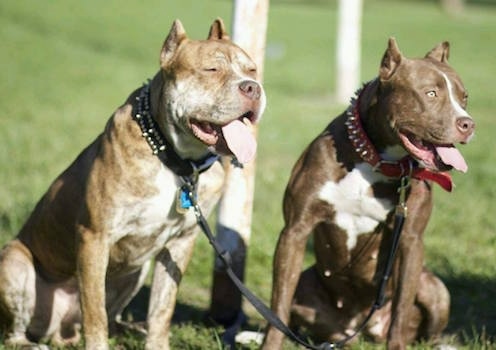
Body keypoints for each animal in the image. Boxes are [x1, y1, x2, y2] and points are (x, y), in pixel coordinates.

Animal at [0, 19, 266, 350]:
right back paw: (29, 342)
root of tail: (62, 331)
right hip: (13, 264)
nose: (253, 88)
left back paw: (132, 330)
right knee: (18, 330)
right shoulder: (94, 236)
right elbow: (95, 313)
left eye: (252, 70)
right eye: (211, 70)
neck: (174, 159)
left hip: (135, 272)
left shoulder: (179, 245)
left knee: (114, 317)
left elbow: (161, 310)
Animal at [262, 39, 474, 350]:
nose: (468, 124)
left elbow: (401, 308)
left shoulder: (411, 240)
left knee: (428, 328)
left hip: (435, 288)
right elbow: (278, 304)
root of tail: (359, 329)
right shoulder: (295, 231)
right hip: (306, 284)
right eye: (431, 93)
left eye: (464, 97)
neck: (376, 159)